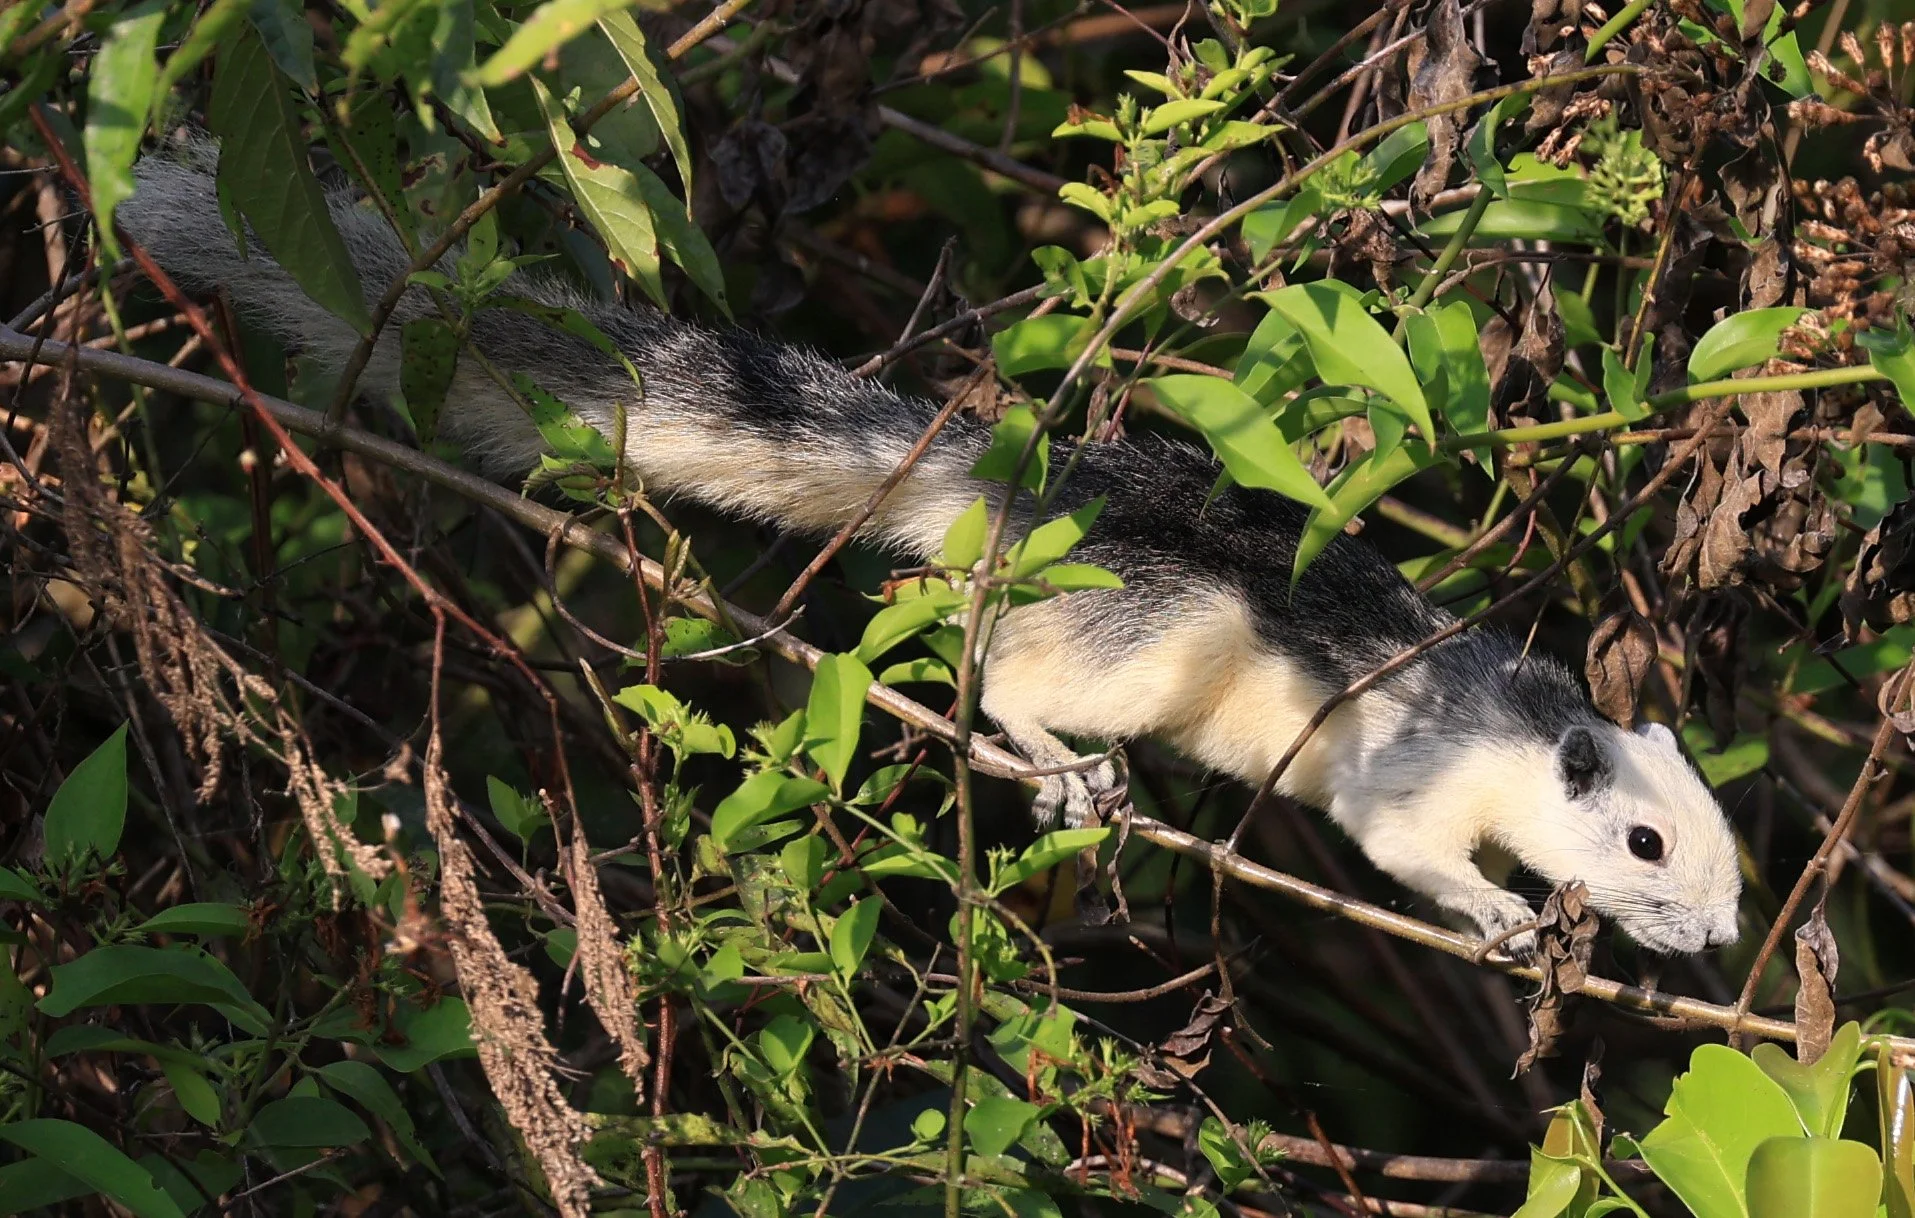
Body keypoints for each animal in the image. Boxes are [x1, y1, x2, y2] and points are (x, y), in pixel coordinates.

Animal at [119, 144, 1743, 958]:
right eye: (1644, 844)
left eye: (1724, 856)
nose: (1725, 938)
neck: (1517, 724)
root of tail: (1006, 482)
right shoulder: (1409, 773)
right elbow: (1402, 850)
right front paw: (1503, 911)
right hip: (1152, 631)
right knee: (991, 662)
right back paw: (1064, 768)